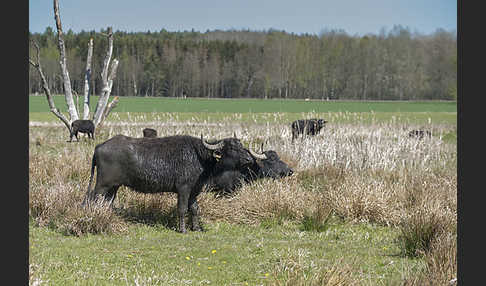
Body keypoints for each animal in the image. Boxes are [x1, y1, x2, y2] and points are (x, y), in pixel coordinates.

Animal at [82, 134, 254, 232]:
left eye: (242, 146)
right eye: (232, 148)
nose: (249, 159)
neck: (199, 156)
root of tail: (99, 146)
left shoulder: (194, 191)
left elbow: (195, 209)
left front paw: (196, 228)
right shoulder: (183, 189)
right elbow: (182, 209)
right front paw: (182, 229)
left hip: (113, 187)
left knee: (107, 202)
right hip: (102, 185)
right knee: (93, 200)